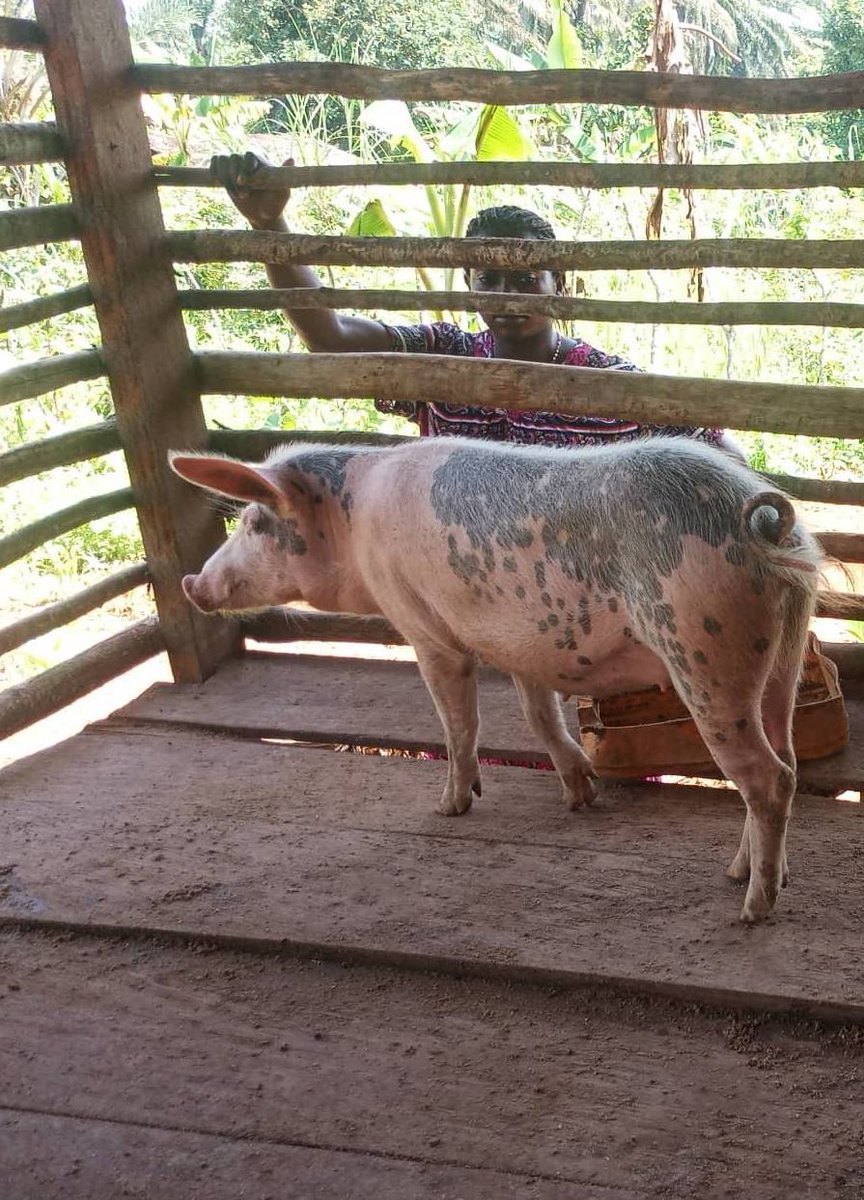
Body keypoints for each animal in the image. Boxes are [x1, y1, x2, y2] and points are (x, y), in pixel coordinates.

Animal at [170, 436, 821, 923]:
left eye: (254, 522)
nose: (190, 583)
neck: (351, 524)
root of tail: (761, 518)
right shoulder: (525, 645)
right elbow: (539, 715)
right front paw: (579, 797)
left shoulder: (423, 626)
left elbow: (458, 721)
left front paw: (447, 809)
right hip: (782, 653)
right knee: (785, 759)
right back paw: (742, 873)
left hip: (702, 650)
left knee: (769, 778)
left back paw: (751, 907)